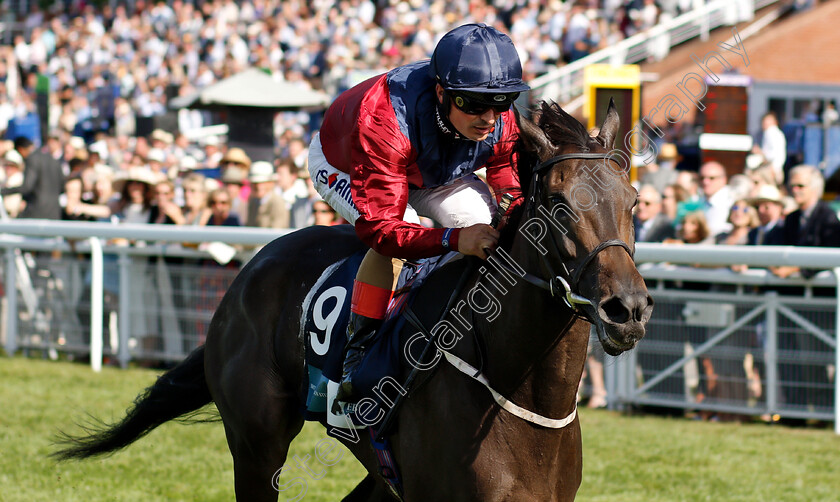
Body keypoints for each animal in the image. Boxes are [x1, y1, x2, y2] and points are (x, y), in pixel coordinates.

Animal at [55, 100, 652, 500]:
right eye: (557, 203)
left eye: (633, 200)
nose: (626, 308)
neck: (520, 393)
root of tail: (251, 268)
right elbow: (385, 226)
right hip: (256, 444)